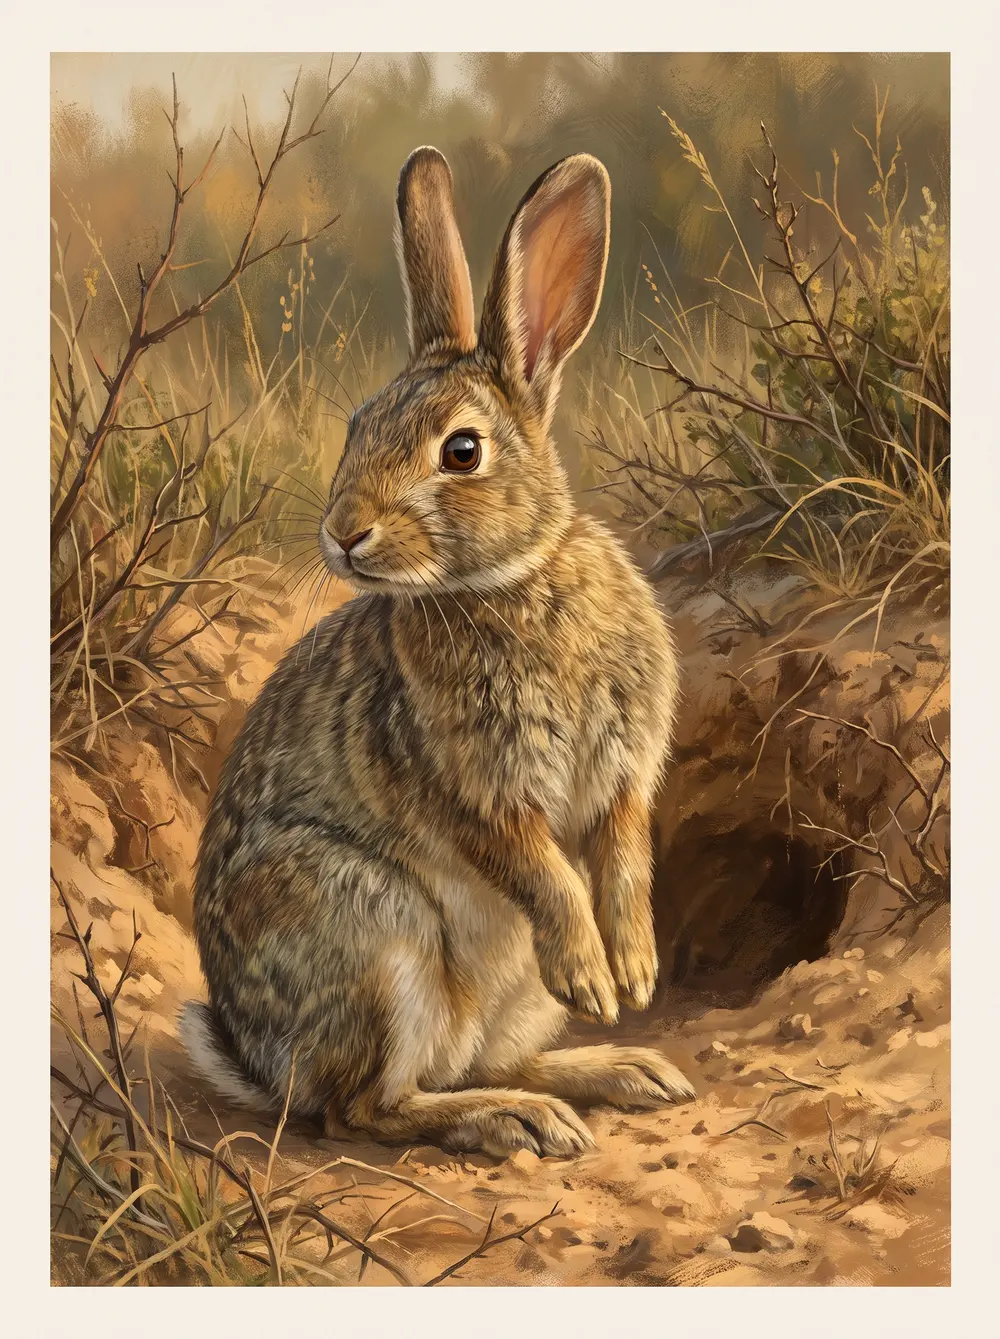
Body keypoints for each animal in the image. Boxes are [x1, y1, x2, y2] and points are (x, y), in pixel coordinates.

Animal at [181, 146, 693, 1159]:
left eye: (461, 451)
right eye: (354, 429)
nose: (344, 534)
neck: (509, 578)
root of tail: (262, 1060)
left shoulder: (623, 774)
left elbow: (621, 852)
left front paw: (634, 974)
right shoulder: (473, 791)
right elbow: (544, 871)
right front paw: (594, 974)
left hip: (486, 989)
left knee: (487, 1061)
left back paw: (619, 1072)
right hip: (375, 937)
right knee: (368, 1107)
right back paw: (514, 1118)